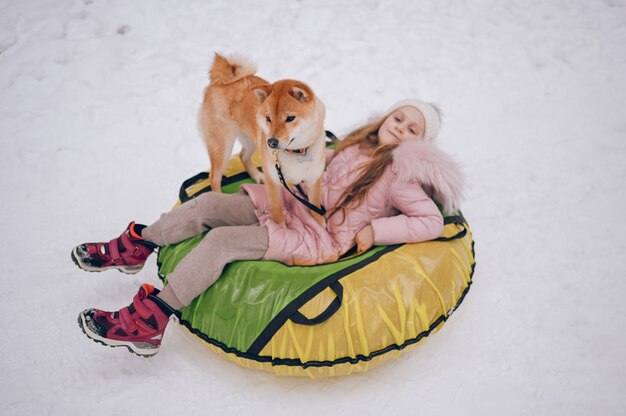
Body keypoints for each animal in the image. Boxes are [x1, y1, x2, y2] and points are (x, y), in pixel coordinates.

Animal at [199, 53, 326, 228]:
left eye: (290, 118)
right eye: (268, 118)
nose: (271, 142)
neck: (296, 152)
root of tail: (221, 81)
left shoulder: (314, 179)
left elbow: (315, 206)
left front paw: (320, 223)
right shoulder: (273, 181)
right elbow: (277, 209)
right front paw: (281, 228)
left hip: (252, 140)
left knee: (243, 156)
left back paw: (257, 175)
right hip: (222, 147)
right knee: (214, 177)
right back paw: (219, 197)